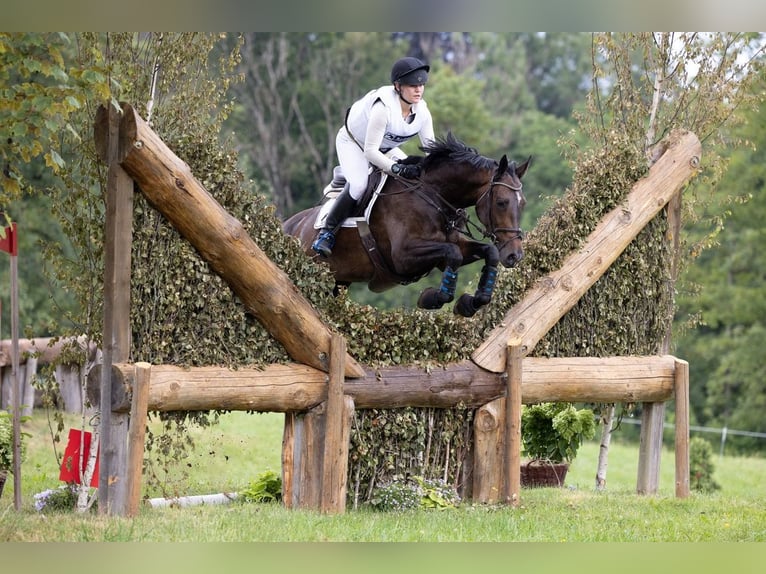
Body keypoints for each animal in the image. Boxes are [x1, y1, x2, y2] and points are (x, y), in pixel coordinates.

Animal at [283, 133, 530, 317]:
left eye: (523, 203)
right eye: (501, 202)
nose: (514, 256)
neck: (433, 196)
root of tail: (286, 226)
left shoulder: (447, 252)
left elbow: (488, 252)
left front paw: (470, 303)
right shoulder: (403, 257)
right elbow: (453, 254)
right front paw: (430, 298)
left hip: (338, 281)